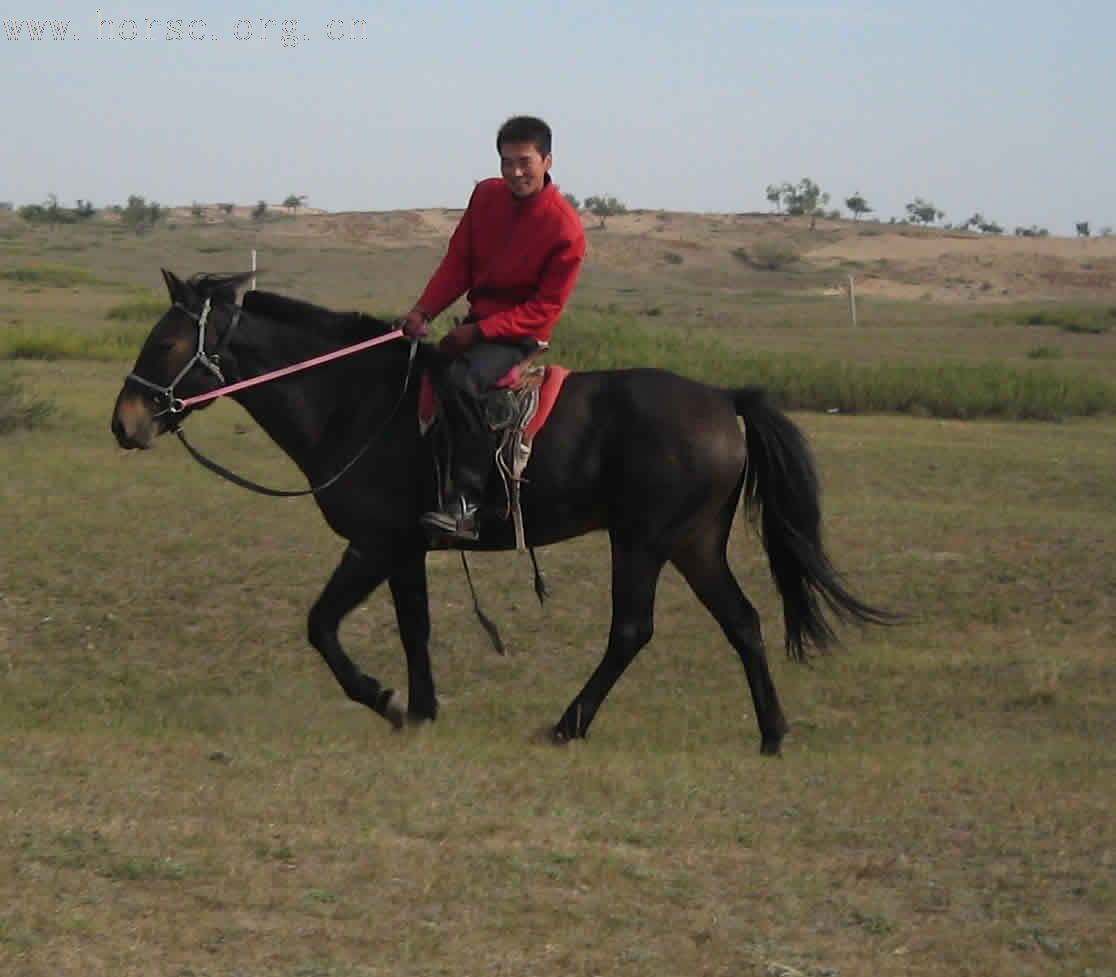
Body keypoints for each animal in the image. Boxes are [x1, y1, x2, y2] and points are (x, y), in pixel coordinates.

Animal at [108, 269, 883, 754]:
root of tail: (725, 400)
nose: (125, 422)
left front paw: (384, 698)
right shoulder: (402, 550)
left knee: (632, 630)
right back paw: (772, 732)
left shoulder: (375, 543)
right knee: (743, 622)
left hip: (642, 542)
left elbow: (323, 625)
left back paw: (569, 725)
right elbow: (411, 628)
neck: (355, 399)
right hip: (693, 543)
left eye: (168, 341)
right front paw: (420, 708)